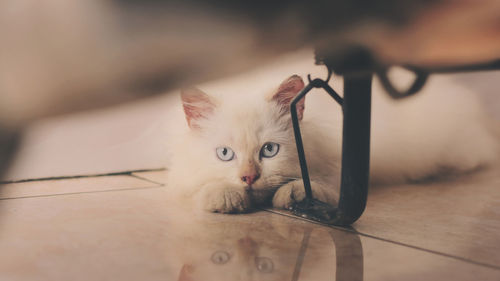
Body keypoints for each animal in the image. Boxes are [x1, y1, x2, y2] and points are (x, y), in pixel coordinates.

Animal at [166, 54, 498, 212]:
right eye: (225, 154)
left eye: (269, 150)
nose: (248, 177)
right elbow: (201, 185)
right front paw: (224, 196)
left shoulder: (339, 166)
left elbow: (313, 184)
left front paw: (293, 195)